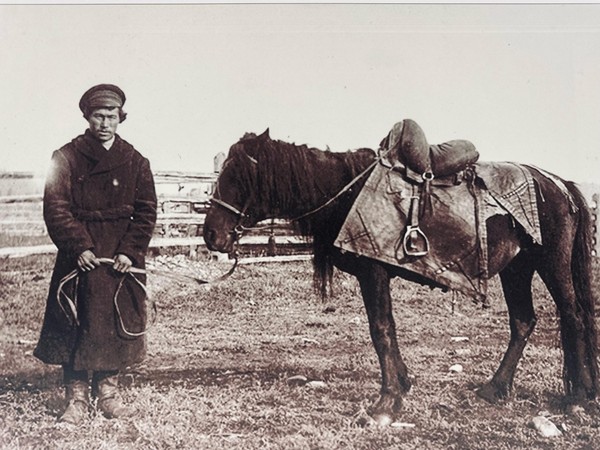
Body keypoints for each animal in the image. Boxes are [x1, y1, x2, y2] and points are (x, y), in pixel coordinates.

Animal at [204, 127, 596, 426]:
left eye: (237, 177)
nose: (211, 235)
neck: (347, 193)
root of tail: (560, 184)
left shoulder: (373, 273)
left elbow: (381, 330)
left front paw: (386, 403)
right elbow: (385, 332)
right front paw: (402, 385)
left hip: (550, 263)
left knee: (572, 317)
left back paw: (578, 396)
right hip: (518, 268)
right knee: (523, 321)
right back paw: (496, 388)